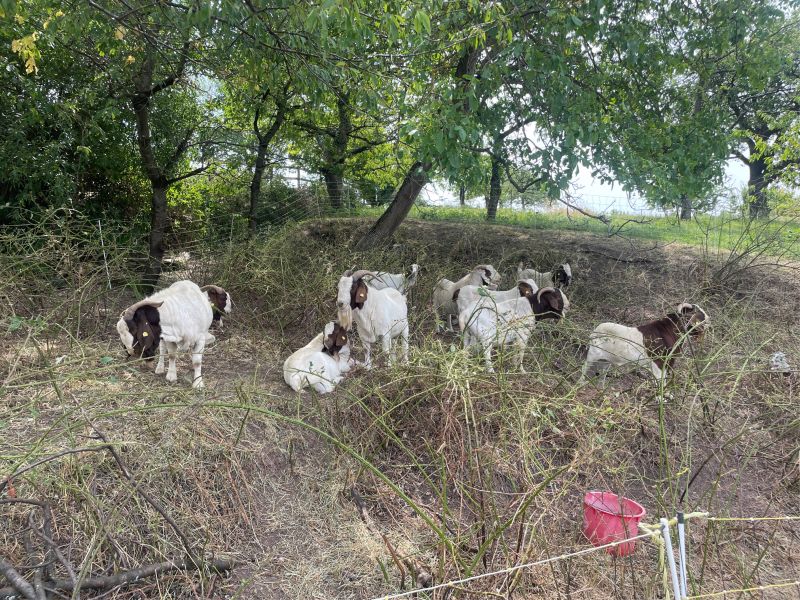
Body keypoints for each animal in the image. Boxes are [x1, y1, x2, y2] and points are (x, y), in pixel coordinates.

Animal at [580, 303, 709, 385]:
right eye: (699, 314)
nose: (708, 319)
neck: (669, 331)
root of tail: (595, 332)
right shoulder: (658, 363)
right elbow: (660, 381)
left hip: (605, 361)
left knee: (602, 375)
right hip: (592, 355)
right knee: (584, 369)